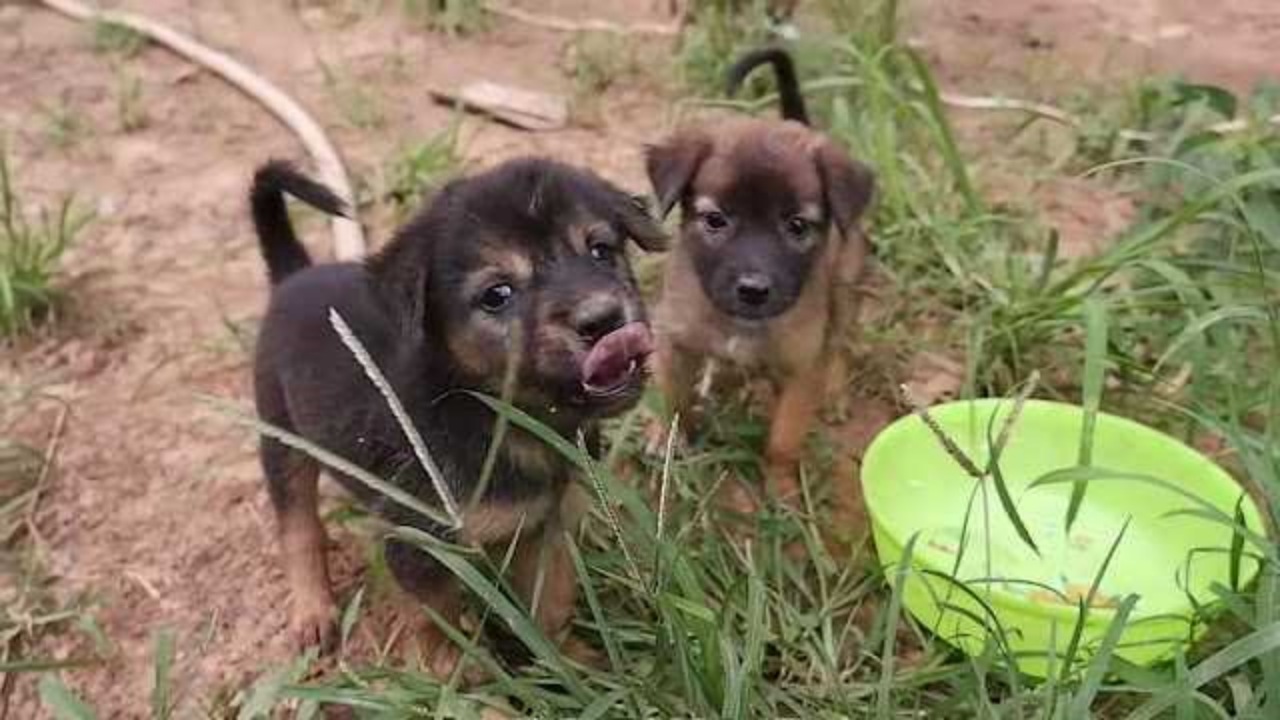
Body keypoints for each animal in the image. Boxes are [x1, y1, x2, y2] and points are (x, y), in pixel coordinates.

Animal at [252, 155, 670, 671]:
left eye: (600, 251)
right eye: (497, 294)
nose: (605, 320)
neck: (499, 417)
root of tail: (291, 276)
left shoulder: (545, 526)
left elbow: (550, 605)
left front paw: (573, 666)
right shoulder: (419, 543)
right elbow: (438, 625)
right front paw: (458, 677)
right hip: (280, 436)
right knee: (298, 525)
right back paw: (313, 611)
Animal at [650, 47, 870, 502]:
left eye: (797, 226)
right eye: (715, 220)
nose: (753, 290)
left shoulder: (801, 367)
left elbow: (784, 438)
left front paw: (781, 487)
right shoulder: (673, 339)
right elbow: (671, 398)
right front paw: (666, 438)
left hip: (845, 286)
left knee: (839, 345)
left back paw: (834, 394)